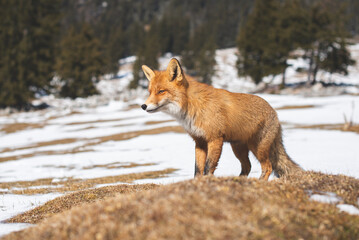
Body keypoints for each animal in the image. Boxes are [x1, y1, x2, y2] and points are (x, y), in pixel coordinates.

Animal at [141, 58, 300, 180]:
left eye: (161, 91)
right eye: (150, 92)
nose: (143, 106)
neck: (193, 105)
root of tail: (275, 113)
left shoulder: (215, 139)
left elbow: (208, 167)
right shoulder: (200, 142)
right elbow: (197, 170)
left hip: (258, 148)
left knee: (267, 167)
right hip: (238, 149)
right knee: (247, 167)